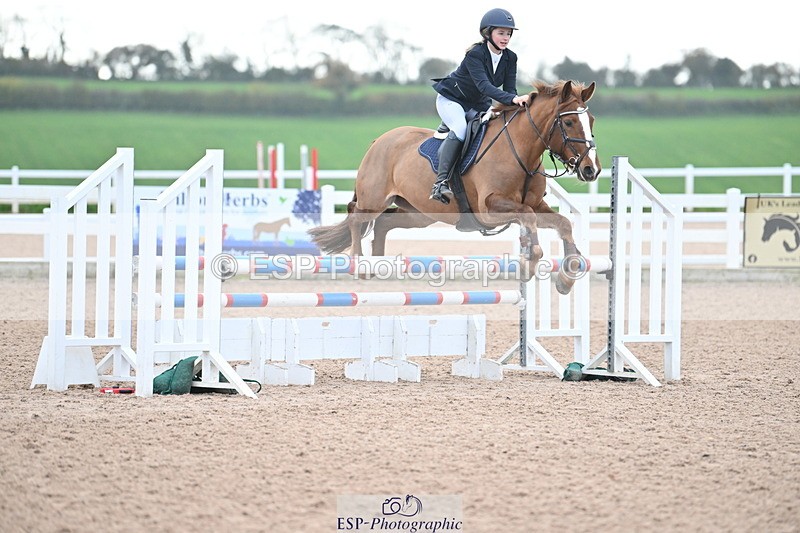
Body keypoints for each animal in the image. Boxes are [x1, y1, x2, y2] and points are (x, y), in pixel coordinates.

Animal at [309, 80, 601, 295]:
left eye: (592, 121)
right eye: (568, 122)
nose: (591, 169)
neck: (521, 151)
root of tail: (379, 140)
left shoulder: (536, 205)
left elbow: (563, 223)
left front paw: (566, 279)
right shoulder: (489, 209)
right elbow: (528, 218)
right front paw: (529, 265)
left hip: (419, 214)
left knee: (383, 223)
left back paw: (377, 265)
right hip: (374, 199)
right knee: (357, 216)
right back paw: (360, 264)